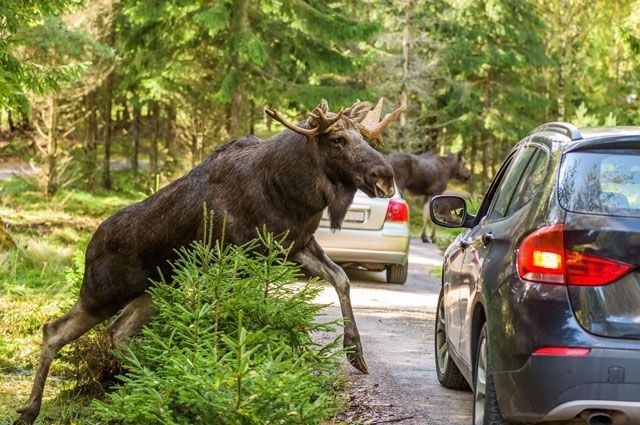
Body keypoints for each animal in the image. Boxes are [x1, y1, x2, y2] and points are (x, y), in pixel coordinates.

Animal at [13, 97, 404, 422]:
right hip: (103, 293)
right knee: (54, 331)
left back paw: (155, 383)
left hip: (152, 292)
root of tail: (88, 246)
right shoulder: (236, 257)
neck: (291, 194)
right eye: (337, 140)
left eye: (364, 137)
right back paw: (31, 410)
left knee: (117, 332)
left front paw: (355, 351)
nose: (385, 177)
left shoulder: (296, 246)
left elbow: (341, 279)